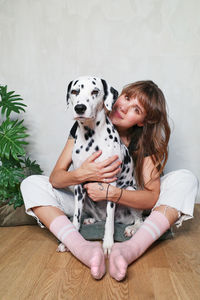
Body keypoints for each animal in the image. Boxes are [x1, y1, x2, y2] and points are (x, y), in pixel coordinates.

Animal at [57, 76, 143, 254]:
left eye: (95, 91)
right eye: (74, 91)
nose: (80, 108)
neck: (91, 136)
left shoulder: (110, 185)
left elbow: (109, 223)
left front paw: (108, 244)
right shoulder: (79, 184)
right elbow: (75, 217)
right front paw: (69, 240)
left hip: (130, 190)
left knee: (139, 220)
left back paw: (132, 228)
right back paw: (91, 220)